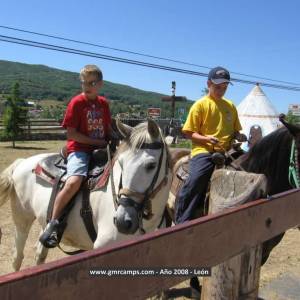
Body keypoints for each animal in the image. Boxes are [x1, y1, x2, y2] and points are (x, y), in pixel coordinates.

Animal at [0, 120, 171, 272]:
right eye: (121, 163)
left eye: (151, 165)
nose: (123, 221)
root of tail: (22, 162)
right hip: (22, 220)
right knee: (17, 257)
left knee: (40, 252)